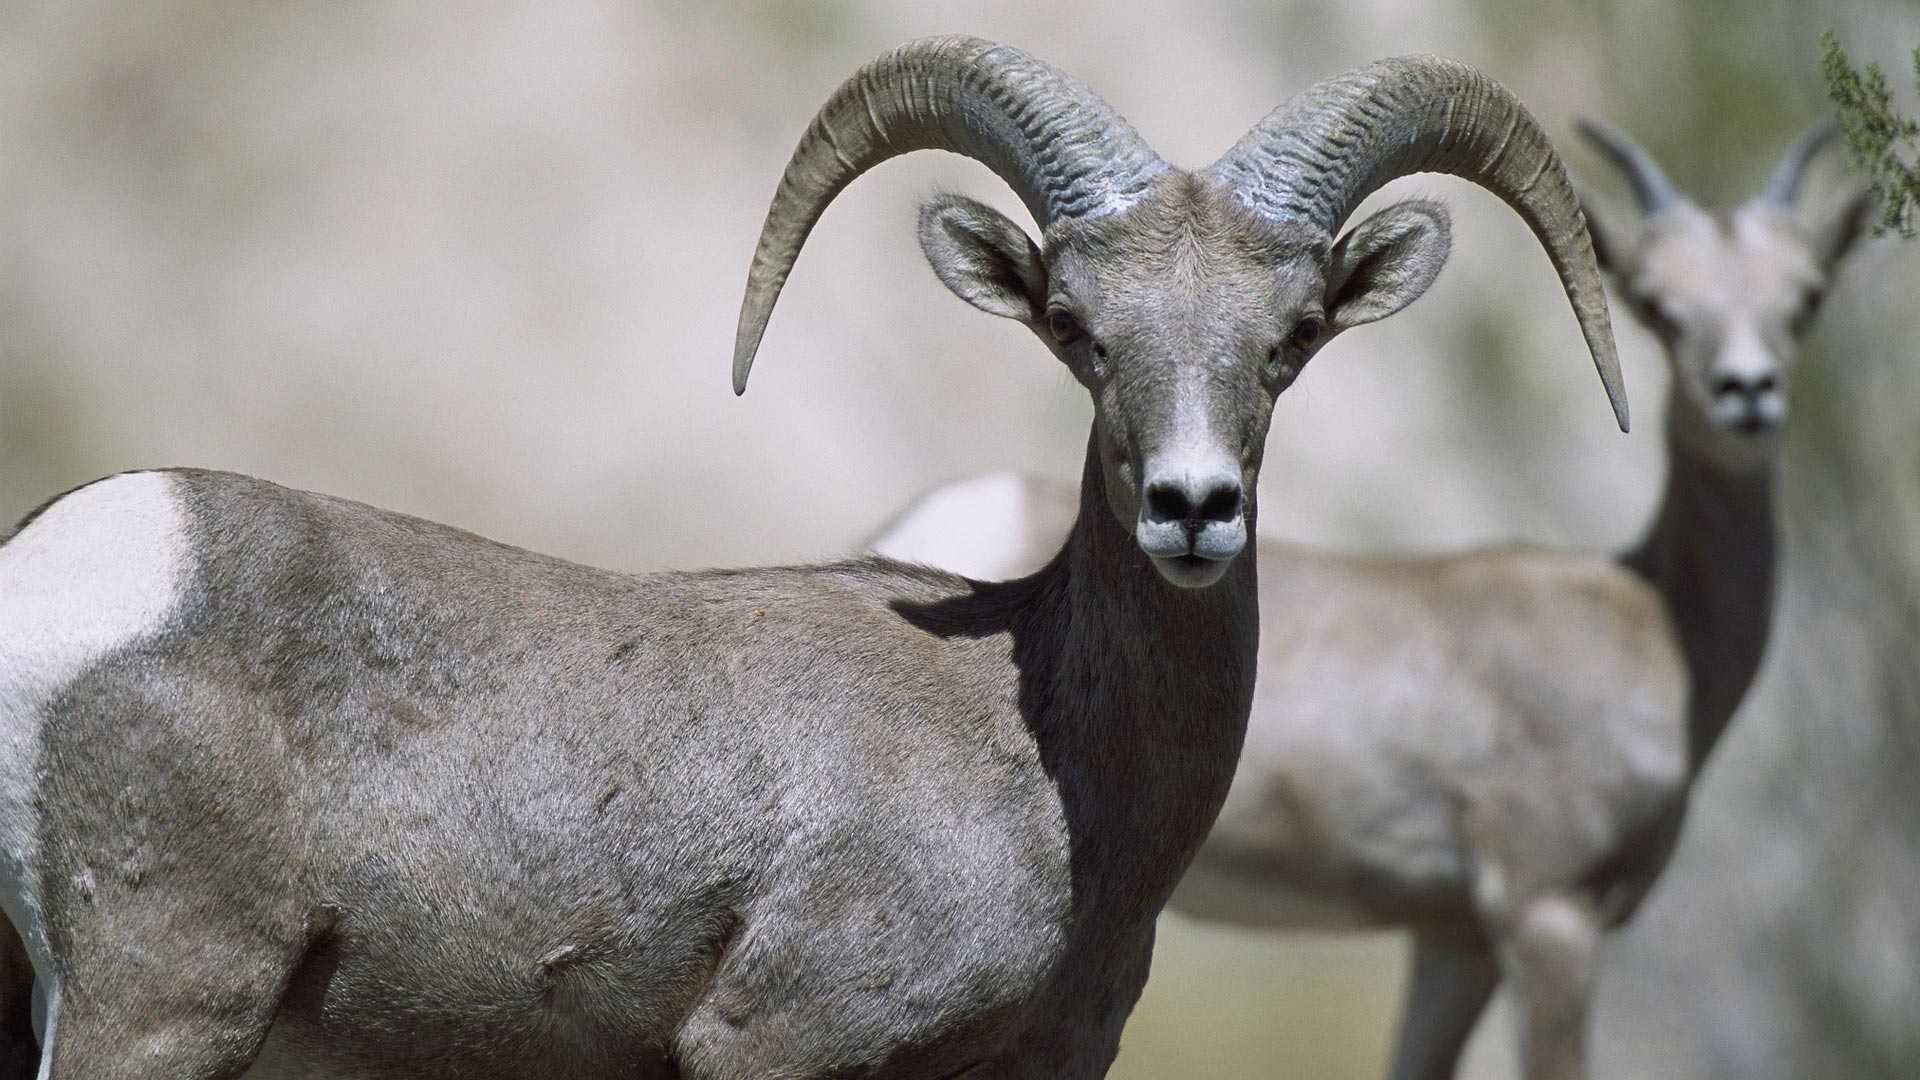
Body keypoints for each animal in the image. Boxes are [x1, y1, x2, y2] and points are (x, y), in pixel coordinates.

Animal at [871, 122, 1873, 1068]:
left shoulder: (1452, 941)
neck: (1654, 616)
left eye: (1806, 298)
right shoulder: (1548, 918)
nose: (1746, 394)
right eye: (1659, 306)